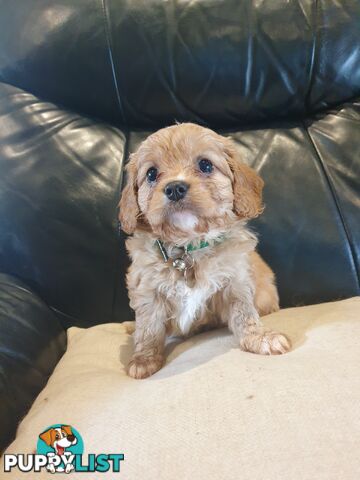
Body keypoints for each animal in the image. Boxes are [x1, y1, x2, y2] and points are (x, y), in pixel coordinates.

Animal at [119, 123, 292, 378]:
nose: (174, 188)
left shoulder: (236, 280)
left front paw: (260, 338)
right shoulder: (146, 288)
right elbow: (148, 325)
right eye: (151, 173)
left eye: (205, 165)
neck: (188, 247)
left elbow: (244, 313)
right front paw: (144, 359)